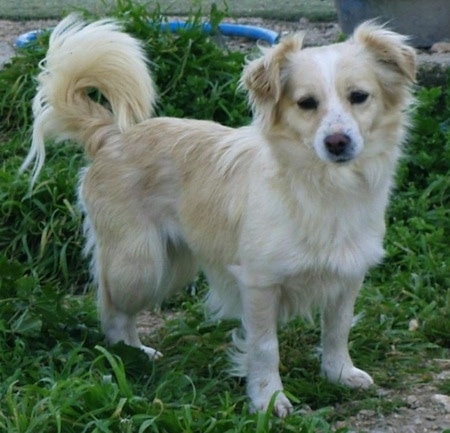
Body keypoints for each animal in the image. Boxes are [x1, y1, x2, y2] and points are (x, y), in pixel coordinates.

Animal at [21, 16, 414, 416]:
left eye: (359, 97)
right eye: (306, 103)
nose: (337, 142)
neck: (324, 185)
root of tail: (111, 136)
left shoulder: (347, 275)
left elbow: (337, 330)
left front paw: (338, 374)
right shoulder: (259, 284)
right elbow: (264, 347)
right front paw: (269, 399)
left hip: (173, 264)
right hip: (140, 267)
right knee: (113, 312)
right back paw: (131, 357)